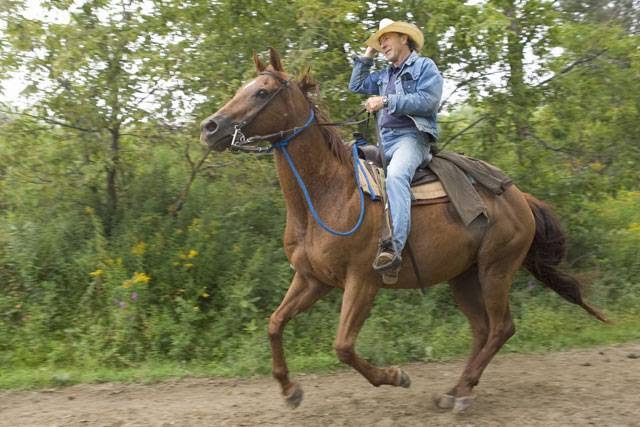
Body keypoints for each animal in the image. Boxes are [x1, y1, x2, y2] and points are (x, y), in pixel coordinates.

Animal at [199, 49, 604, 414]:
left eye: (262, 92)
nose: (210, 127)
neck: (329, 194)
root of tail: (521, 197)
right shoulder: (313, 279)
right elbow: (274, 323)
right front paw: (289, 390)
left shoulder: (363, 280)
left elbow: (343, 346)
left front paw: (396, 376)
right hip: (463, 276)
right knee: (482, 329)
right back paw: (454, 391)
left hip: (496, 270)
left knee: (501, 328)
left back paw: (463, 394)